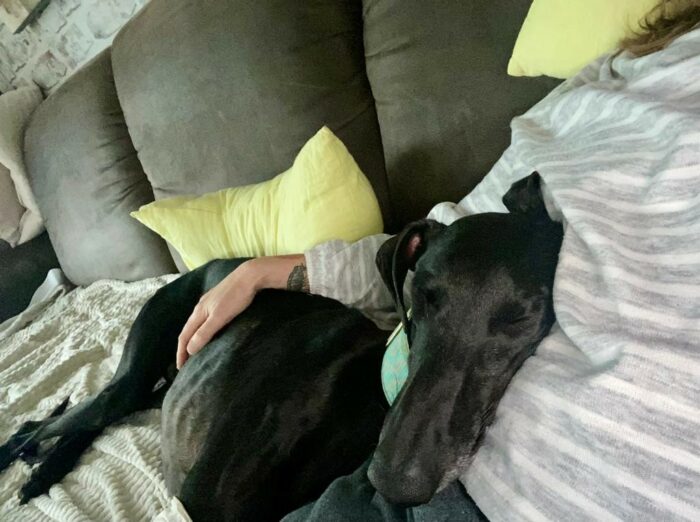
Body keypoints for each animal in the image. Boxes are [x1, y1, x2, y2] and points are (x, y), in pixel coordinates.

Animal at [0, 172, 562, 521]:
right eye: (420, 297)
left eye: (521, 316)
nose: (393, 479)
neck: (371, 389)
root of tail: (212, 266)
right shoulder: (200, 500)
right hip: (141, 367)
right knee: (53, 420)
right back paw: (23, 456)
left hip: (155, 390)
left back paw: (42, 467)